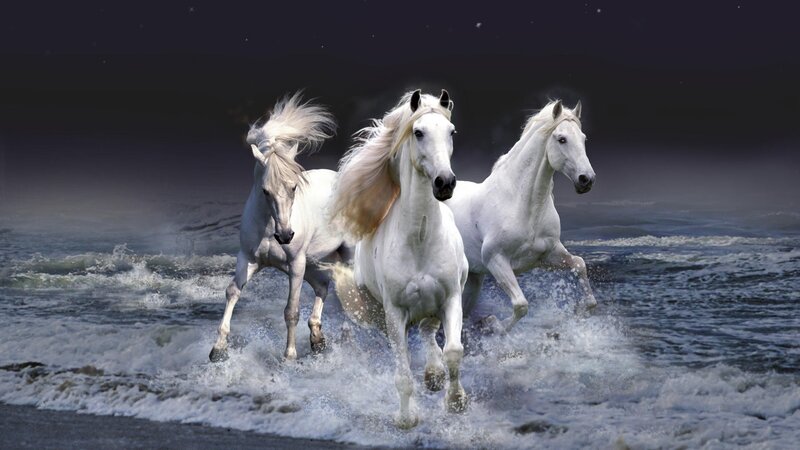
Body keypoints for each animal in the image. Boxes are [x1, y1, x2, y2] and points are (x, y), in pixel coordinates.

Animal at [209, 93, 353, 362]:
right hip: (314, 262)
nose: (285, 236)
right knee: (323, 287)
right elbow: (232, 291)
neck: (268, 228)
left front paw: (289, 356)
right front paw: (218, 349)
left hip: (344, 255)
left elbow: (291, 310)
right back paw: (317, 339)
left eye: (294, 187)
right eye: (265, 190)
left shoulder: (295, 264)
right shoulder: (248, 259)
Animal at [330, 90, 469, 428]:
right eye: (418, 132)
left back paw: (434, 375)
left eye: (451, 132)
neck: (419, 239)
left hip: (433, 305)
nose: (445, 183)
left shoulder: (451, 297)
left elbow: (454, 351)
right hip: (383, 314)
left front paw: (456, 402)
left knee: (429, 332)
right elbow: (403, 374)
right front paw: (407, 419)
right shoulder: (394, 313)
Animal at [445, 100, 596, 333]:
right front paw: (494, 325)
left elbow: (579, 265)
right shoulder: (496, 260)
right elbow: (521, 305)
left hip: (473, 279)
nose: (586, 179)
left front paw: (579, 311)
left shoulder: (547, 255)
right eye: (561, 139)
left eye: (583, 138)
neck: (522, 205)